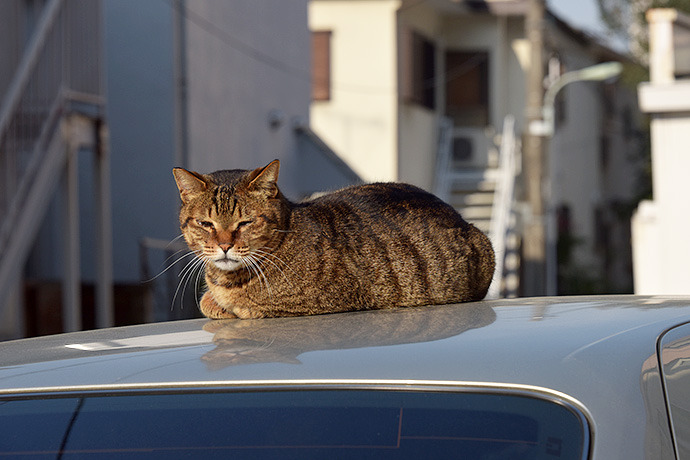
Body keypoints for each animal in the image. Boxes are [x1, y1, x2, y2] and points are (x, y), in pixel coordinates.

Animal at [172, 160, 494, 318]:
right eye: (206, 224)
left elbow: (243, 307)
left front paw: (224, 305)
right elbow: (207, 301)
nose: (224, 245)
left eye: (245, 222)